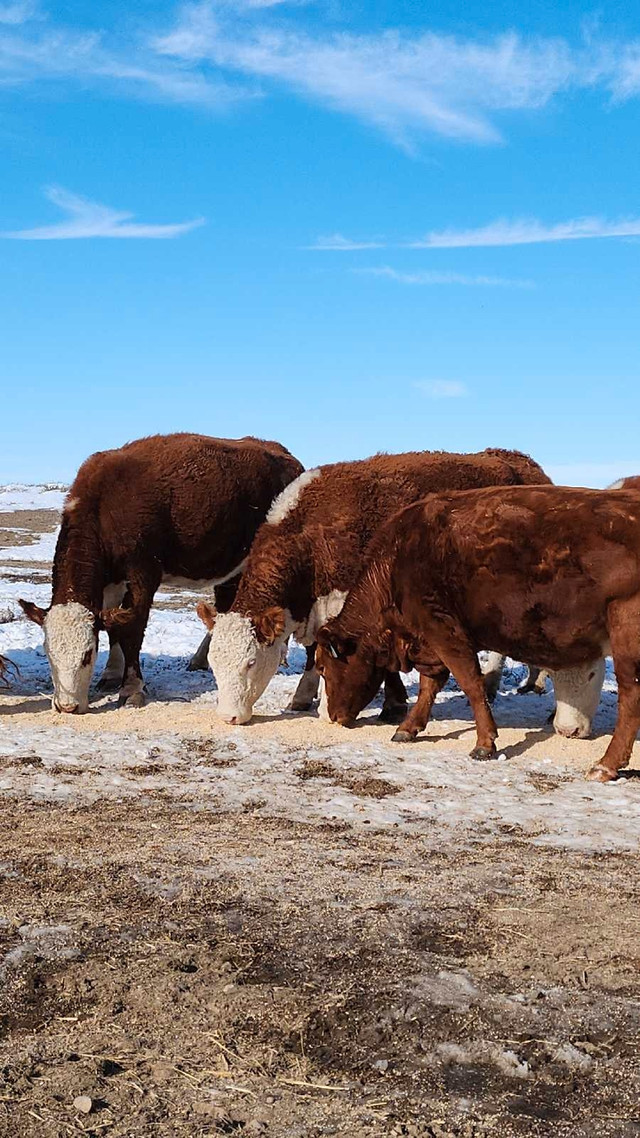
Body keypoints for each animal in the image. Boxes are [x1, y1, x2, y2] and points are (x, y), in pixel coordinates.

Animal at [17, 432, 300, 710]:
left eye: (87, 654)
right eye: (48, 652)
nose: (67, 706)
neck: (105, 504)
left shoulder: (144, 572)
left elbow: (132, 628)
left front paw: (131, 688)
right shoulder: (111, 580)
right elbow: (113, 625)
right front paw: (111, 674)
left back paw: (279, 656)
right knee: (224, 604)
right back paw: (201, 658)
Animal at [314, 480, 640, 782]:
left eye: (322, 667)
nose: (334, 717)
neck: (394, 564)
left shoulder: (445, 632)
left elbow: (471, 684)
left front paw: (484, 743)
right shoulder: (432, 642)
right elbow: (430, 685)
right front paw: (408, 728)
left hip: (625, 638)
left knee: (630, 698)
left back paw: (605, 765)